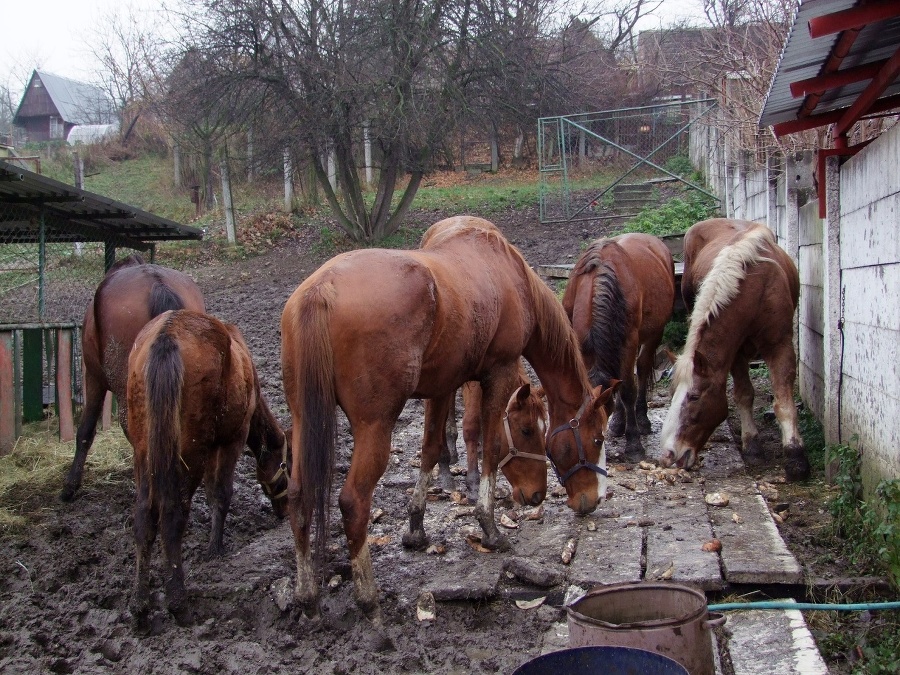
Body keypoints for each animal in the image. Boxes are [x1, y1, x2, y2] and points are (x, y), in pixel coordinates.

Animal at [126, 312, 286, 628]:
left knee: (144, 519)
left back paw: (140, 604)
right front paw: (215, 548)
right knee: (173, 516)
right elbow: (220, 494)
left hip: (144, 451)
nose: (284, 511)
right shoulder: (231, 437)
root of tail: (166, 338)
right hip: (190, 451)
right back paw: (178, 602)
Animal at [652, 219, 808, 484]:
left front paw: (795, 456)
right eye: (672, 394)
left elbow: (783, 403)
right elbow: (744, 394)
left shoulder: (781, 347)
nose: (668, 455)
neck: (756, 287)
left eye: (694, 397)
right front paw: (752, 446)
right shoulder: (735, 353)